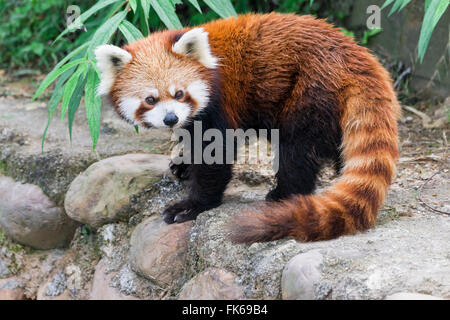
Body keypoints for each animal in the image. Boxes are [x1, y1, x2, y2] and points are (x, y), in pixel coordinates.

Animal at [96, 12, 400, 242]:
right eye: (150, 99)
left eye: (179, 93)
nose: (170, 119)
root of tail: (357, 55)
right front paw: (183, 164)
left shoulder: (219, 102)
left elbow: (216, 153)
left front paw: (193, 205)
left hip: (311, 89)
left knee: (298, 149)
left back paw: (283, 195)